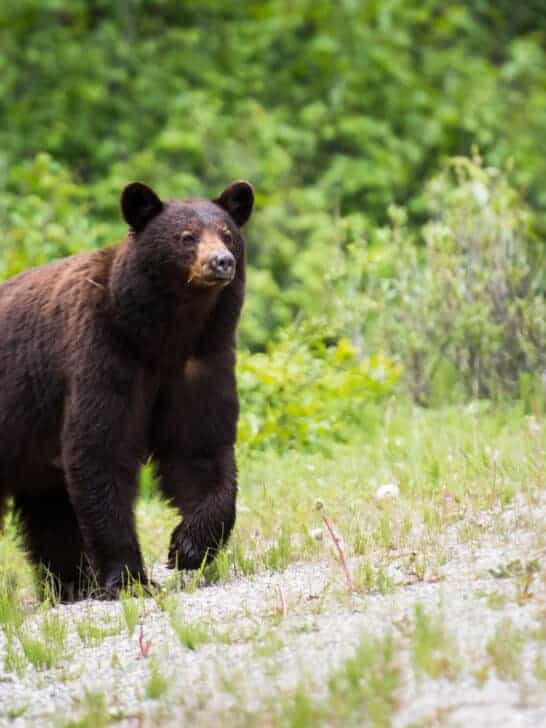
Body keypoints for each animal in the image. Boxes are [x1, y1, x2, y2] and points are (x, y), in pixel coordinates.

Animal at [0, 179, 254, 600]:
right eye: (186, 237)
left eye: (228, 234)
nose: (221, 262)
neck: (161, 334)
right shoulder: (103, 354)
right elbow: (101, 450)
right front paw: (130, 578)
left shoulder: (200, 362)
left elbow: (200, 448)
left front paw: (187, 547)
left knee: (50, 513)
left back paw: (73, 586)